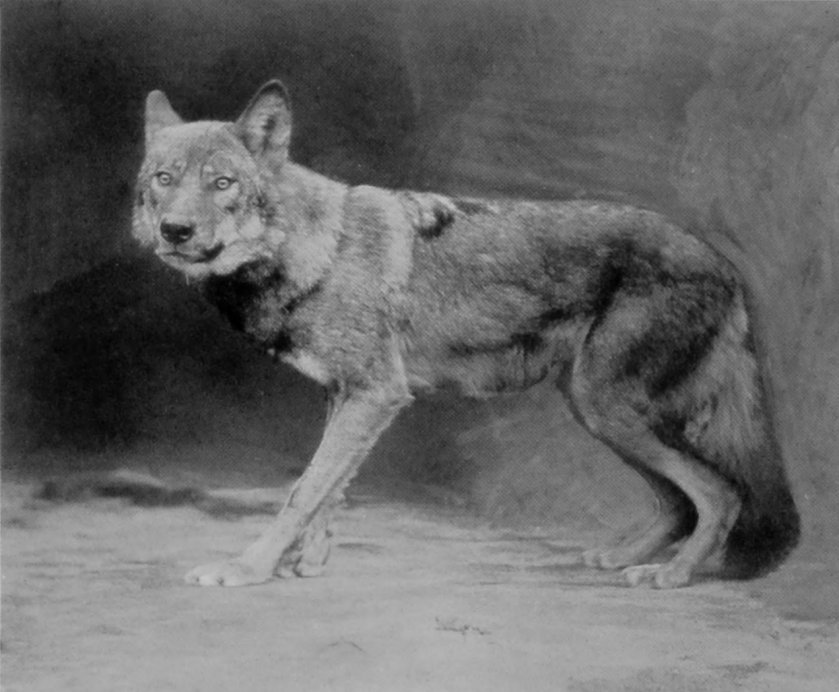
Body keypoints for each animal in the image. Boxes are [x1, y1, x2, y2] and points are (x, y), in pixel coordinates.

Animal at [133, 80, 800, 588]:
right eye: (164, 179)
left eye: (222, 184)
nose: (175, 230)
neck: (315, 249)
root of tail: (723, 264)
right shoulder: (349, 398)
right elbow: (328, 493)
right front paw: (307, 564)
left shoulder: (374, 396)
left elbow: (303, 492)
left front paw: (248, 569)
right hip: (598, 412)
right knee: (677, 500)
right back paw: (622, 557)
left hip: (609, 409)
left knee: (719, 494)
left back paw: (672, 576)